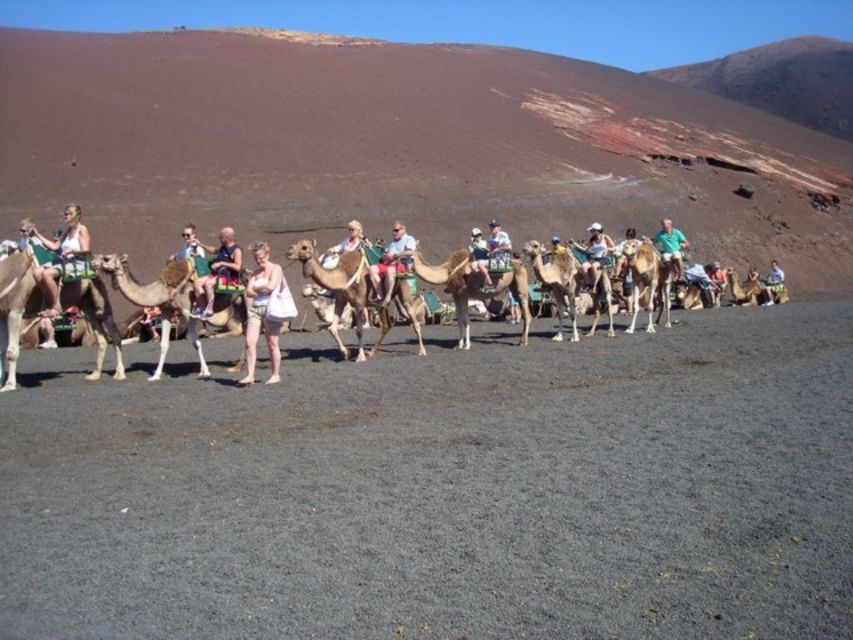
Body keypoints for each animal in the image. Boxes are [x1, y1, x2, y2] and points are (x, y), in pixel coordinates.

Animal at [94, 254, 246, 380]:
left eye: (106, 258)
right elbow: (164, 344)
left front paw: (205, 371)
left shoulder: (188, 311)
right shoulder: (166, 311)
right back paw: (238, 365)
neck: (163, 289)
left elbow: (196, 343)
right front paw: (155, 375)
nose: (93, 262)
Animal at [286, 239, 426, 360]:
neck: (342, 276)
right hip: (382, 303)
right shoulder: (341, 300)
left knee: (415, 321)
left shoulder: (359, 302)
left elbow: (359, 330)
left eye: (304, 247)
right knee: (386, 325)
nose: (288, 252)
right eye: (295, 243)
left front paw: (360, 357)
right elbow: (332, 328)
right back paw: (372, 352)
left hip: (403, 291)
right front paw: (345, 353)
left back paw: (422, 351)